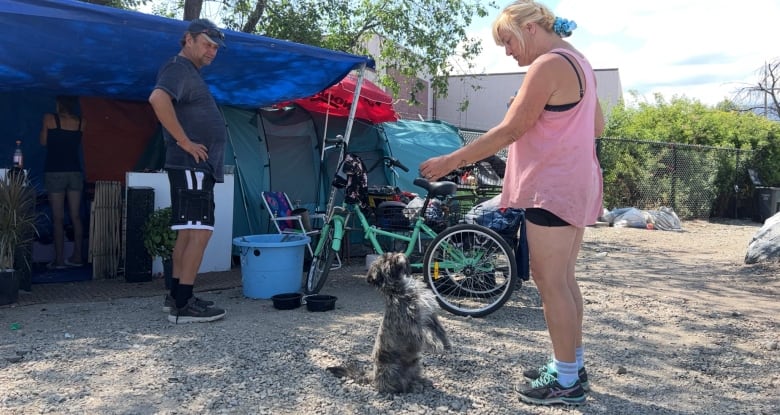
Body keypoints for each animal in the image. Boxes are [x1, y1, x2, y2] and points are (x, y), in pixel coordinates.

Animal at [328, 254, 450, 394]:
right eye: (386, 259)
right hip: (391, 370)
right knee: (397, 386)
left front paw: (446, 343)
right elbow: (427, 334)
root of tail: (373, 376)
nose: (399, 255)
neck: (399, 288)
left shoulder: (430, 316)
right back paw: (409, 388)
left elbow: (439, 329)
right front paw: (437, 345)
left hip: (416, 364)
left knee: (411, 378)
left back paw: (420, 381)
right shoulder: (412, 324)